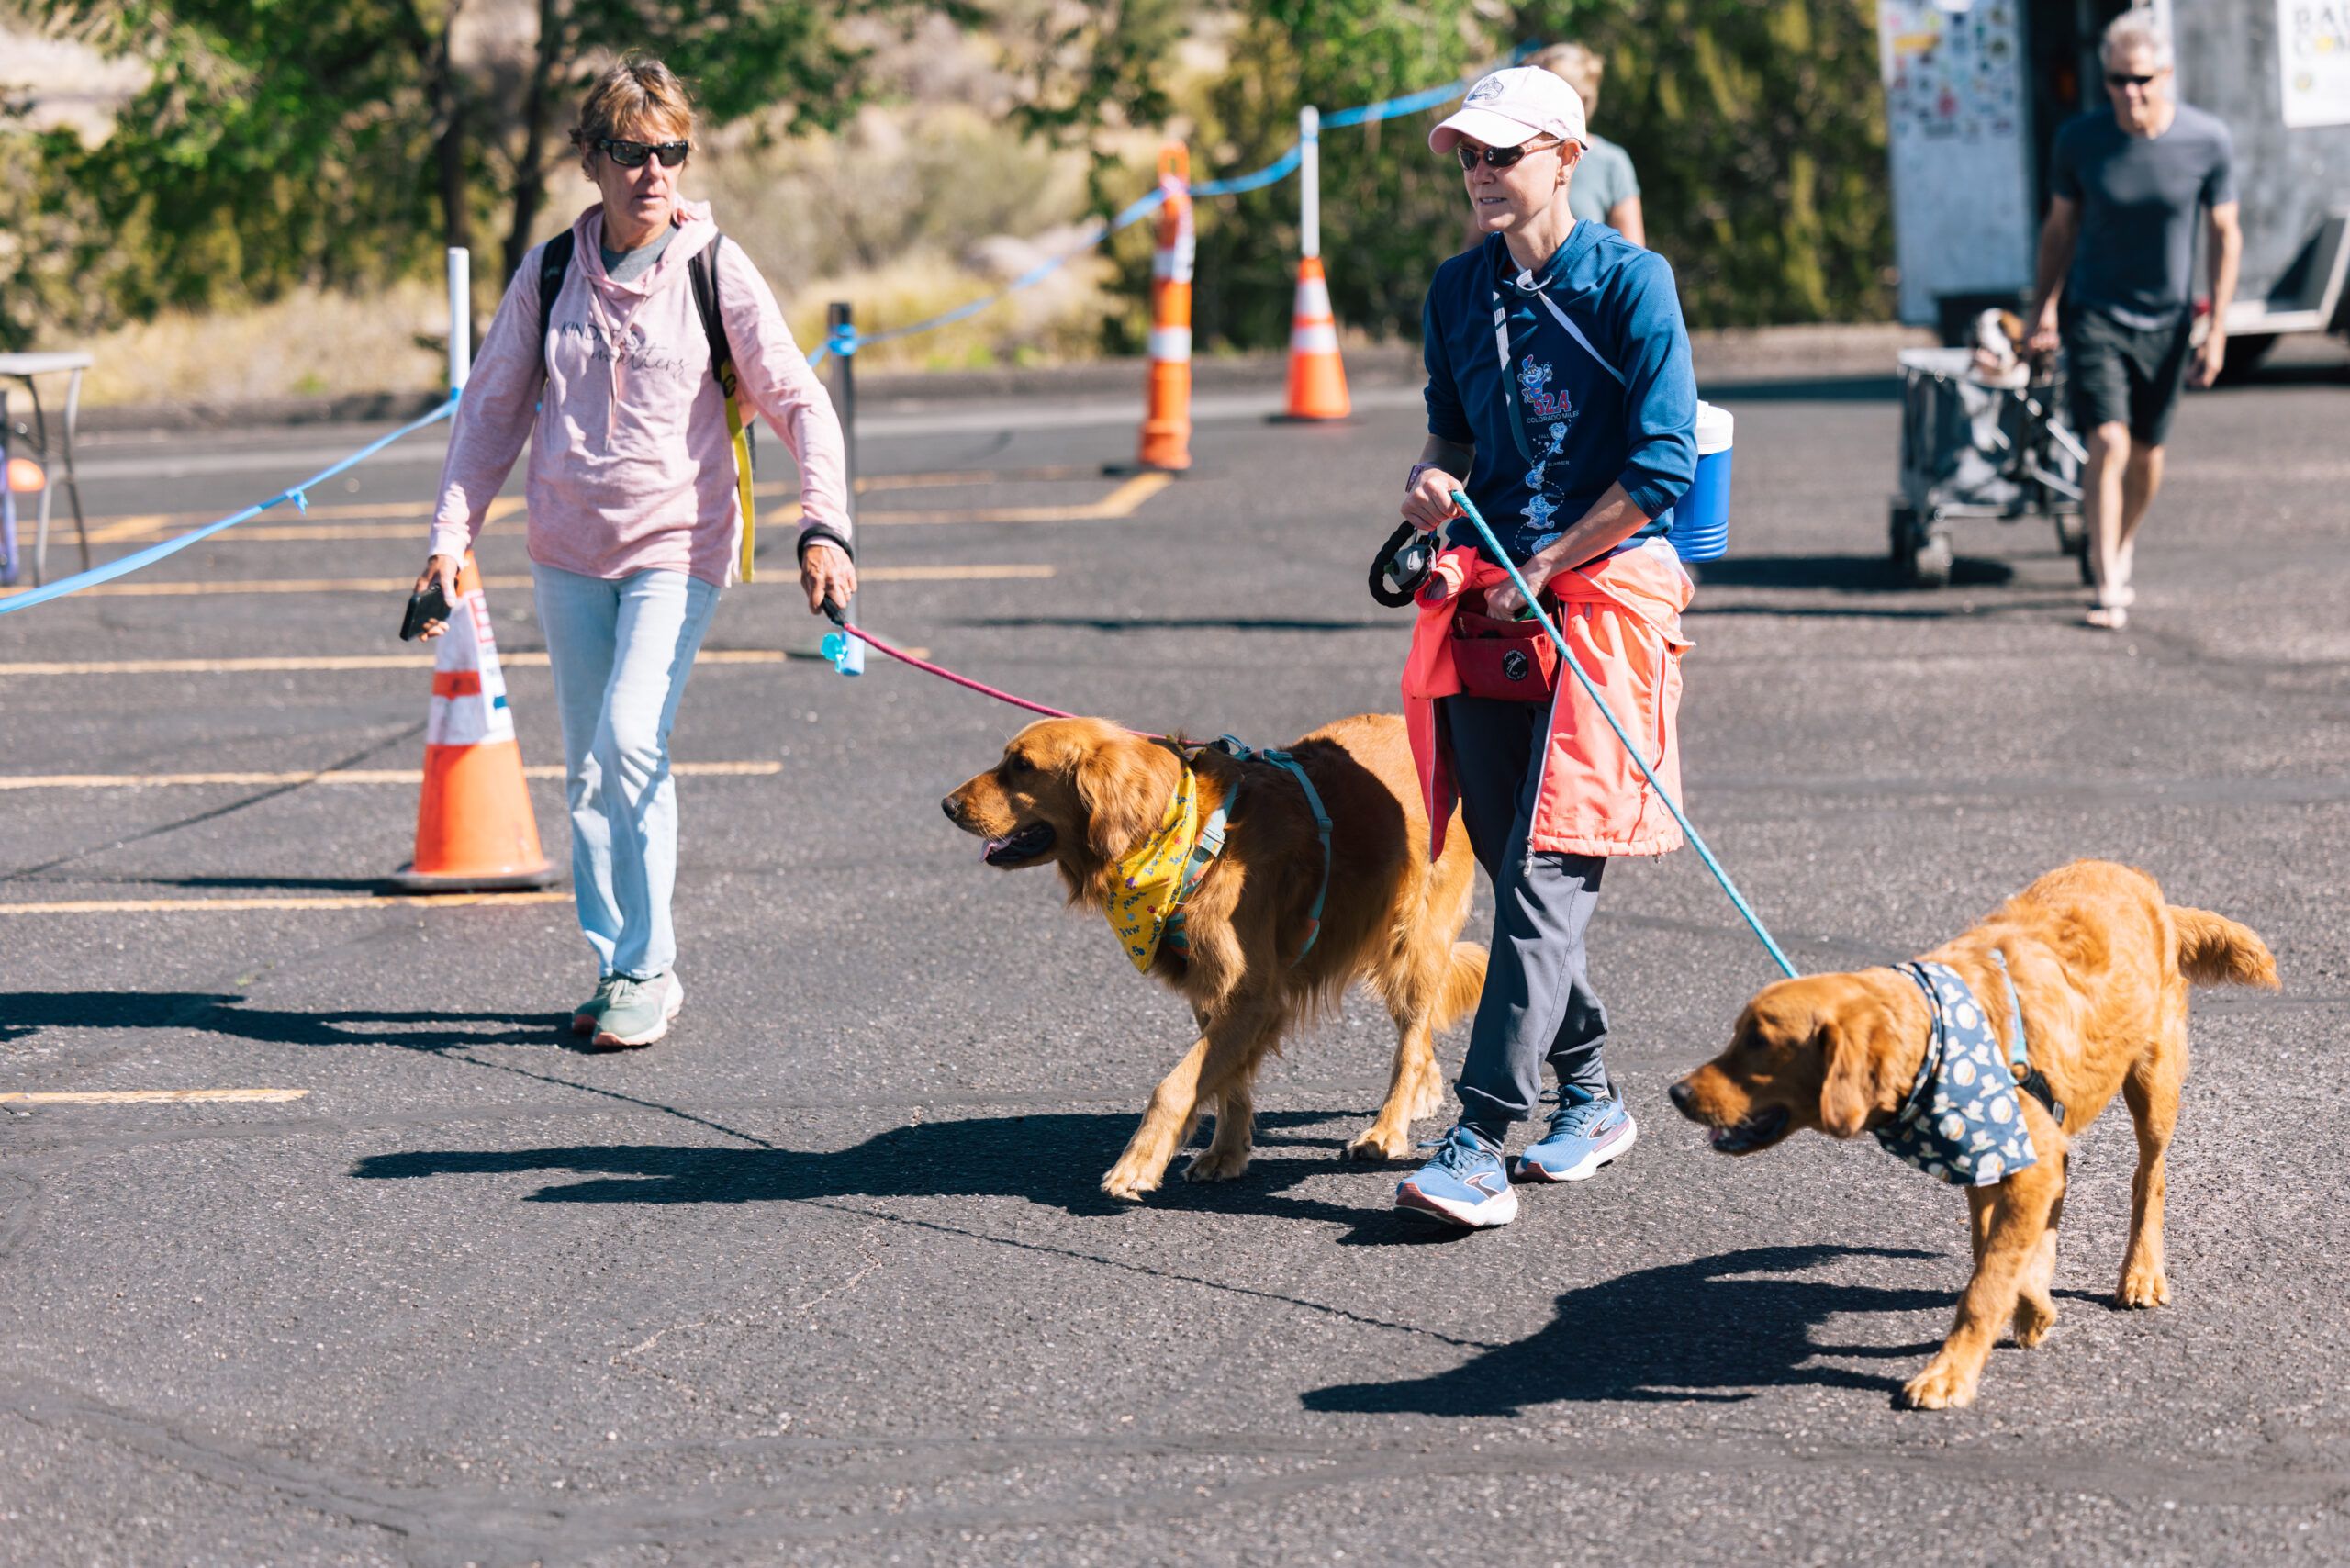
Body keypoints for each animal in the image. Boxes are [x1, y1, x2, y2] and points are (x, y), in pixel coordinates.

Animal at [942, 714, 1487, 1199]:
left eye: (1022, 766)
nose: (947, 805)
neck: (1183, 834)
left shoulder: (1251, 996)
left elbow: (1173, 1087)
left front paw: (1137, 1162)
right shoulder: (1214, 990)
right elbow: (1227, 1081)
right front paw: (1227, 1152)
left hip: (1413, 941)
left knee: (1410, 1037)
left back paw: (1386, 1130)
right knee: (1419, 1031)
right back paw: (1423, 1092)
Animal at [1669, 860, 2276, 1409]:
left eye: (1758, 1040)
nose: (1676, 1092)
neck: (1939, 1035)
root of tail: (2139, 880)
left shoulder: (2021, 1163)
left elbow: (1987, 1284)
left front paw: (1950, 1374)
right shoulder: (1992, 1162)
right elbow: (2000, 1258)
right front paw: (2033, 1307)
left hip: (2152, 1080)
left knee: (2150, 1176)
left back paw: (2143, 1272)